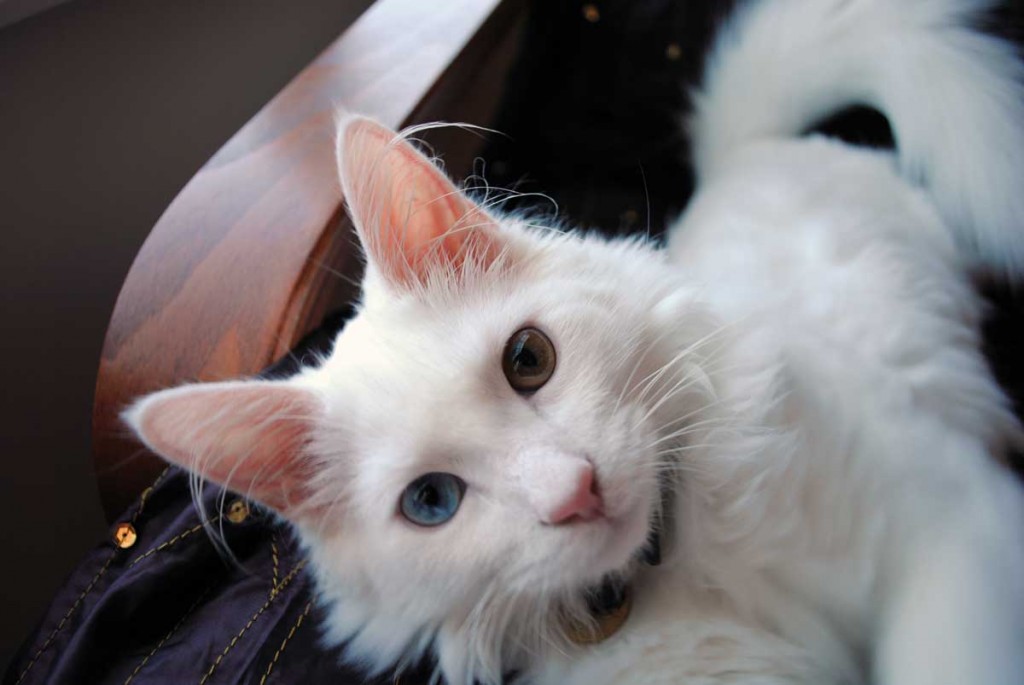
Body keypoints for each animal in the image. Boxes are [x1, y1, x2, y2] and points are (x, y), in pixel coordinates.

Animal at [125, 0, 1024, 679]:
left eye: (529, 360)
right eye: (431, 501)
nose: (575, 492)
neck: (683, 554)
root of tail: (744, 155)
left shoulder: (947, 522)